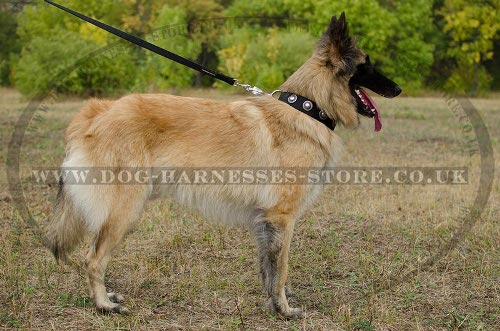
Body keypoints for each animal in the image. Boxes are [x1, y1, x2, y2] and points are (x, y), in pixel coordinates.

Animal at [44, 12, 402, 320]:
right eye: (367, 64)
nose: (399, 89)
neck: (307, 108)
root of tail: (97, 110)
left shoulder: (264, 220)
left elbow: (268, 270)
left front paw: (273, 305)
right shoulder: (282, 218)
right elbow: (282, 268)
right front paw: (285, 311)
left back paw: (108, 296)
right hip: (124, 211)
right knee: (93, 259)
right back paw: (104, 305)